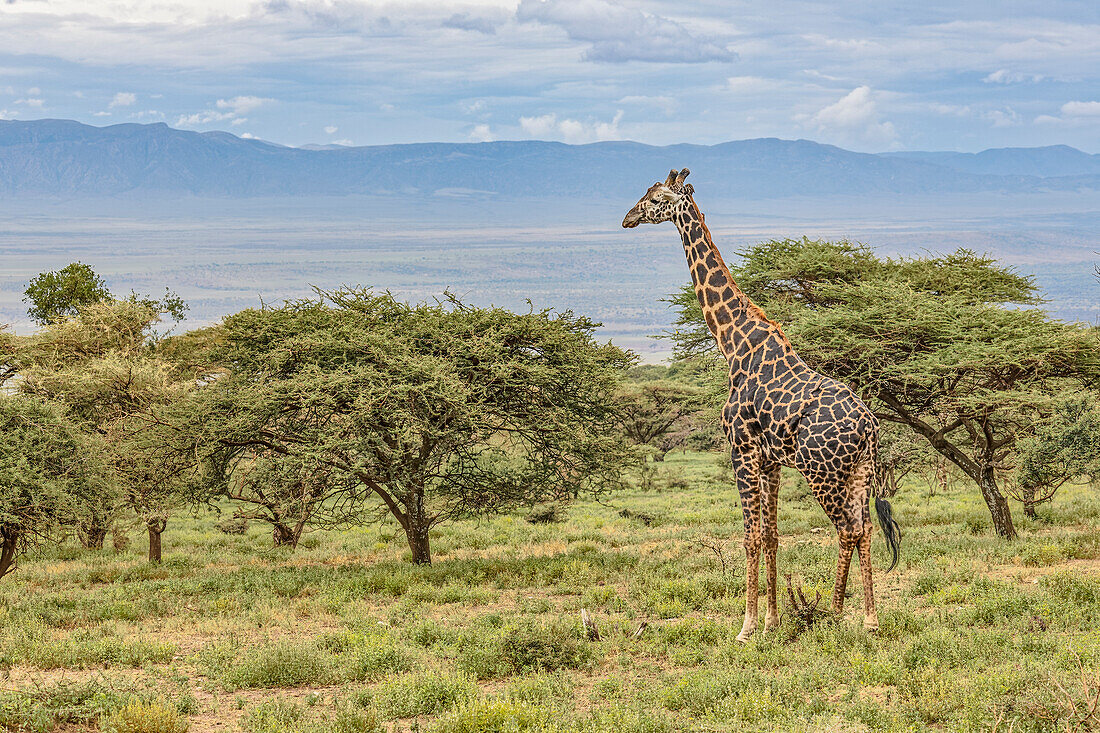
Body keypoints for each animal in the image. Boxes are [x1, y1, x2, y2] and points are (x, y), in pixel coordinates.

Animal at [624, 168, 897, 638]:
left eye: (656, 198)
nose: (627, 217)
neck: (734, 344)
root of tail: (869, 426)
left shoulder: (742, 450)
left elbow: (751, 536)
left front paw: (747, 626)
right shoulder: (770, 461)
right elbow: (771, 535)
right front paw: (771, 620)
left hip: (821, 471)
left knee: (846, 528)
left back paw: (836, 612)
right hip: (861, 469)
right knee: (863, 527)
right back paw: (869, 618)